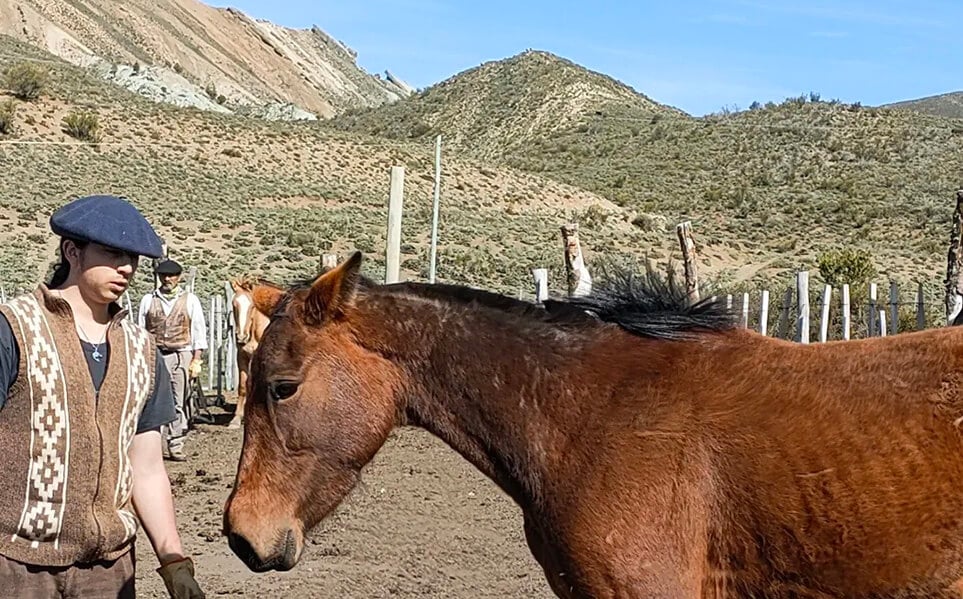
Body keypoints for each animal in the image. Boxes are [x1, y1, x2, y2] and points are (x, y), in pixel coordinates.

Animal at [226, 276, 272, 432]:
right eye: (234, 304)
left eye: (252, 306)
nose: (241, 337)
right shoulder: (242, 357)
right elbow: (242, 386)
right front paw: (236, 419)